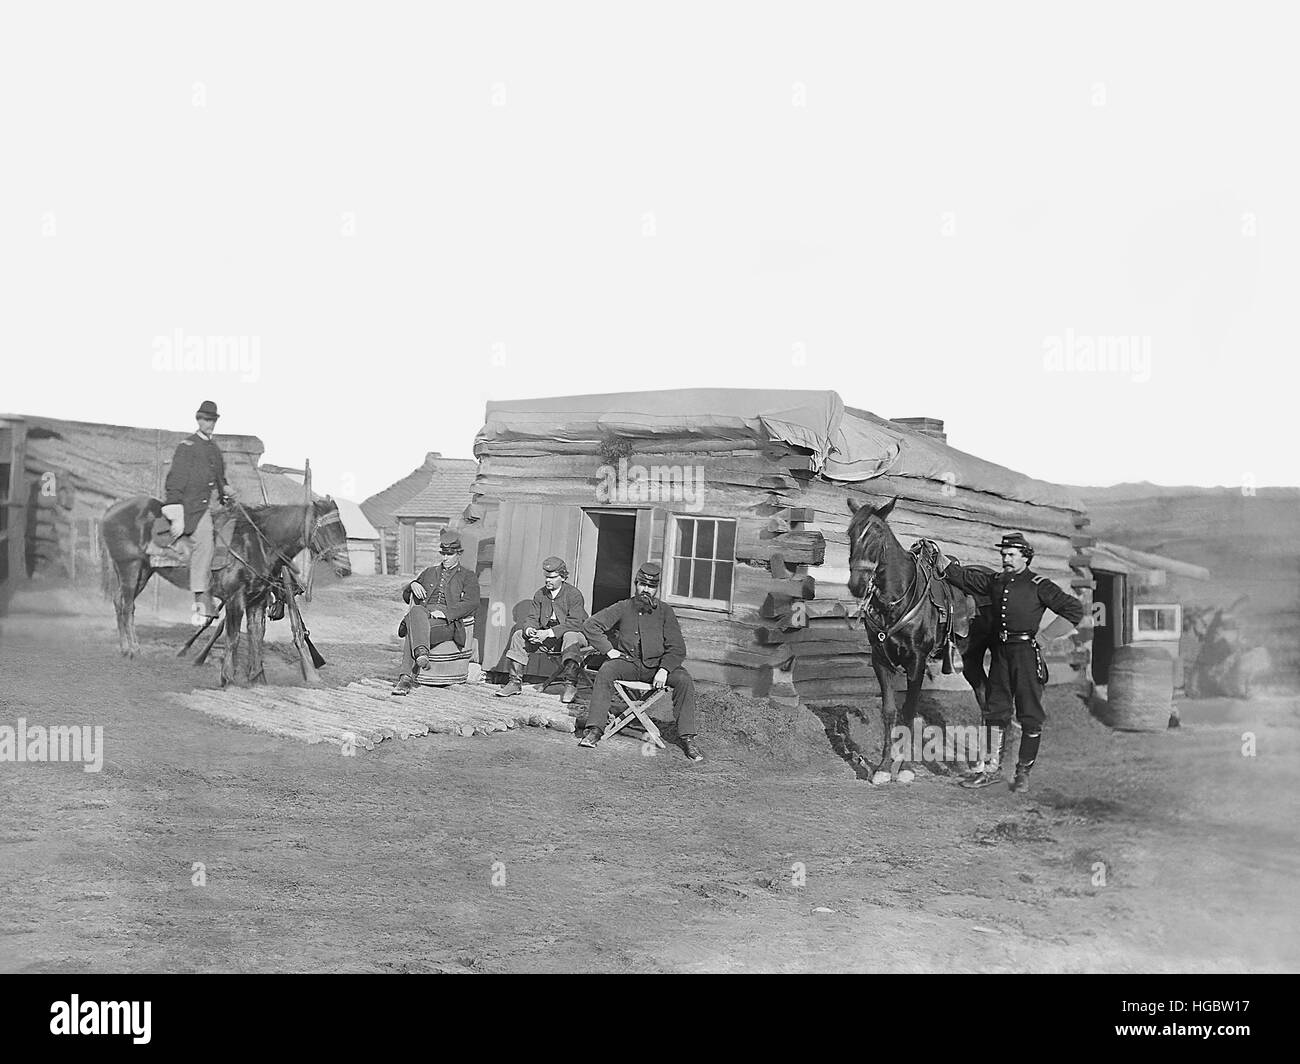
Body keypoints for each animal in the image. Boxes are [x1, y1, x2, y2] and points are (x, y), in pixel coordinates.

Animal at [99, 494, 348, 681]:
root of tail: (113, 509)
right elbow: (233, 636)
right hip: (130, 568)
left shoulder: (256, 600)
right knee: (127, 606)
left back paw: (126, 648)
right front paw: (227, 677)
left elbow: (256, 635)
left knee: (120, 602)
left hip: (142, 571)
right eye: (328, 530)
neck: (257, 541)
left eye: (343, 531)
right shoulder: (235, 598)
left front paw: (257, 678)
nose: (346, 568)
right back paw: (132, 649)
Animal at [842, 494, 977, 780]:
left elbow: (909, 712)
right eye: (851, 533)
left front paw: (906, 767)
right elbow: (890, 712)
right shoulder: (880, 660)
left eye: (877, 534)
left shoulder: (917, 661)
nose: (856, 585)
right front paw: (883, 767)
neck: (896, 602)